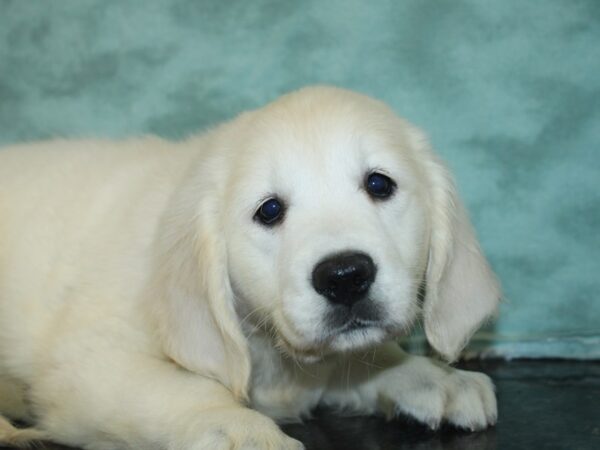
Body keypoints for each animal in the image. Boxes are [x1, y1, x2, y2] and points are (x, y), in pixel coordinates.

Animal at [0, 86, 500, 448]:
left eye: (379, 184)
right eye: (270, 210)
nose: (344, 277)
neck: (267, 346)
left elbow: (360, 360)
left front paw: (432, 377)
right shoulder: (86, 363)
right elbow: (186, 390)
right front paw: (245, 431)